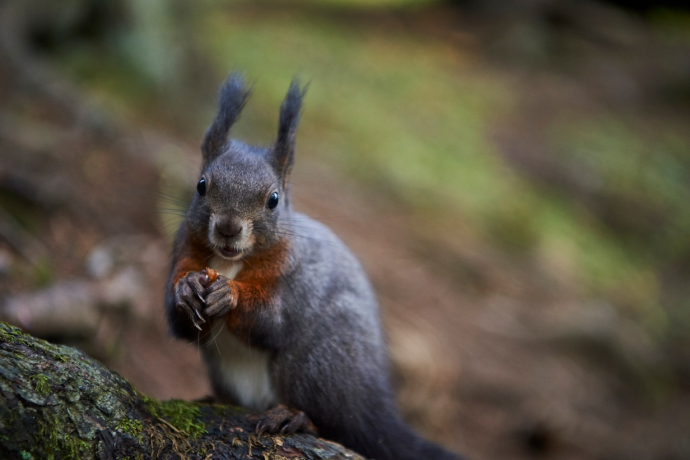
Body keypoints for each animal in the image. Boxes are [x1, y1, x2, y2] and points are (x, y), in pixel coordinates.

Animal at [165, 73, 461, 460]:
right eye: (201, 185)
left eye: (274, 200)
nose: (228, 227)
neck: (229, 261)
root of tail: (372, 407)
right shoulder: (183, 253)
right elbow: (180, 323)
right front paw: (185, 290)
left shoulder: (297, 280)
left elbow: (272, 323)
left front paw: (230, 295)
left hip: (318, 364)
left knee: (332, 422)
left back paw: (294, 417)